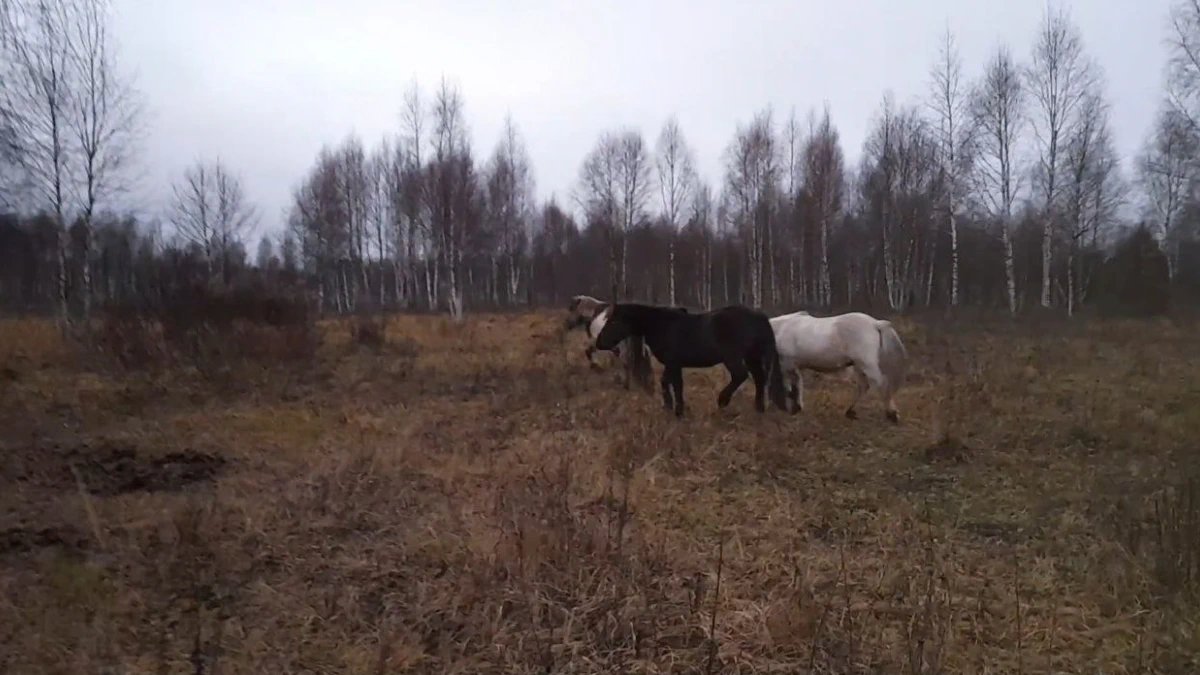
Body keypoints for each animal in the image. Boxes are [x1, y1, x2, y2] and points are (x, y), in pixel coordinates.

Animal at [595, 300, 792, 415]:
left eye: (614, 321)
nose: (599, 342)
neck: (662, 325)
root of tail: (759, 316)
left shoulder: (673, 362)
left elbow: (669, 383)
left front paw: (673, 408)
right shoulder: (674, 364)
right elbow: (673, 384)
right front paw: (675, 409)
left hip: (733, 357)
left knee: (740, 375)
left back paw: (723, 400)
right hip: (752, 356)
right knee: (759, 378)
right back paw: (758, 409)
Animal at [768, 309, 907, 420]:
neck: (780, 329)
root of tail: (875, 323)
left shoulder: (786, 366)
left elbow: (788, 387)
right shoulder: (793, 367)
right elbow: (797, 385)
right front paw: (796, 407)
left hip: (866, 364)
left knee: (881, 383)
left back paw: (892, 414)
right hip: (858, 366)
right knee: (864, 386)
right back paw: (850, 412)